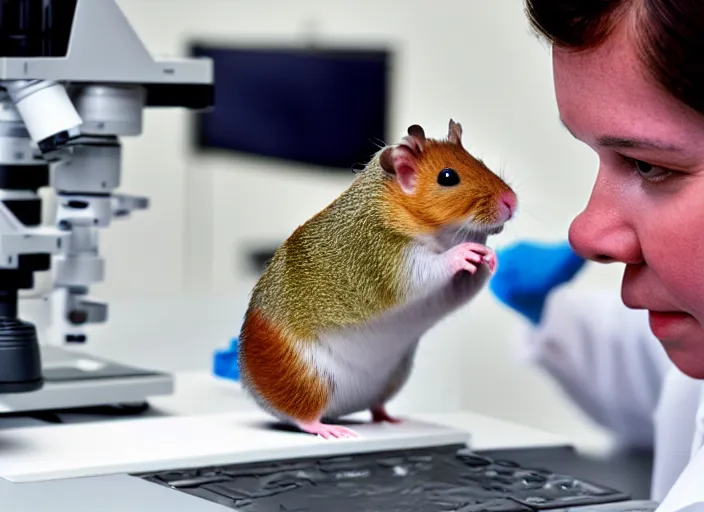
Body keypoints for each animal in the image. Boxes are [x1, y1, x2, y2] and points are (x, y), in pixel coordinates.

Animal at [236, 119, 516, 436]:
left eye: (478, 160)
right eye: (447, 176)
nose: (511, 201)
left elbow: (462, 288)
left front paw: (489, 258)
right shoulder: (381, 258)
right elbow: (423, 272)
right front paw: (461, 253)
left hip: (391, 377)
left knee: (374, 405)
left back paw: (386, 417)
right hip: (302, 377)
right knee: (300, 415)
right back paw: (323, 427)